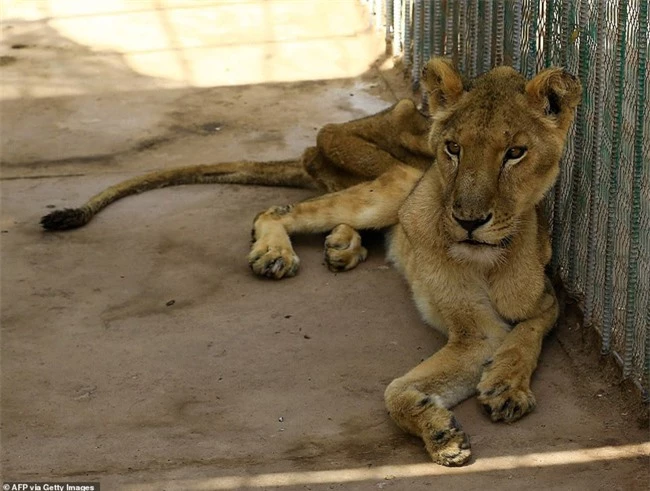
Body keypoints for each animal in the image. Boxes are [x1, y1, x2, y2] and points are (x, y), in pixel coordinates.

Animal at [39, 57, 576, 466]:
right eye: (454, 148)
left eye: (515, 153)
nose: (468, 220)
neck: (487, 259)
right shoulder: (474, 331)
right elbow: (395, 393)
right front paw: (441, 433)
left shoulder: (545, 301)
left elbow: (527, 334)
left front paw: (505, 386)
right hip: (400, 181)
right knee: (276, 210)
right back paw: (277, 253)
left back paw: (343, 245)